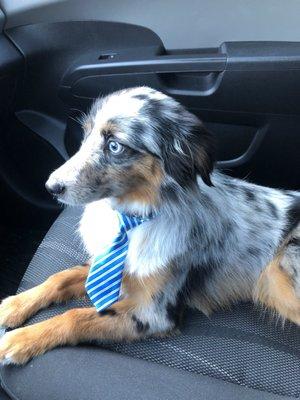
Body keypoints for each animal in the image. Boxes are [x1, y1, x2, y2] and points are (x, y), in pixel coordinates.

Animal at [0, 87, 298, 366]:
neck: (131, 216)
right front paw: (13, 305)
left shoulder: (153, 313)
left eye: (115, 146)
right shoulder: (108, 263)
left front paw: (21, 339)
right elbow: (60, 277)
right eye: (86, 135)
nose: (51, 187)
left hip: (278, 273)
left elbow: (76, 316)